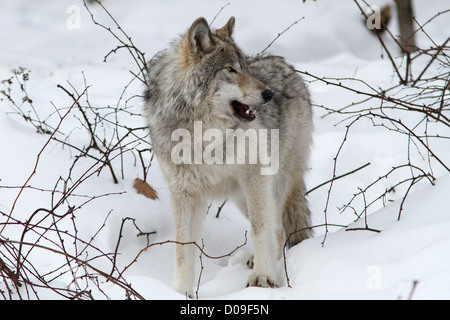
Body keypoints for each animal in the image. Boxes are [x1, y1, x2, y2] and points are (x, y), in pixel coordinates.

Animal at [144, 16, 312, 296]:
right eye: (230, 70)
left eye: (246, 68)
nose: (269, 94)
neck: (204, 134)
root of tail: (288, 67)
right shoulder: (184, 192)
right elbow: (183, 249)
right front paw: (178, 291)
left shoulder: (255, 174)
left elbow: (260, 228)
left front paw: (264, 277)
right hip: (242, 198)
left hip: (270, 186)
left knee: (276, 228)